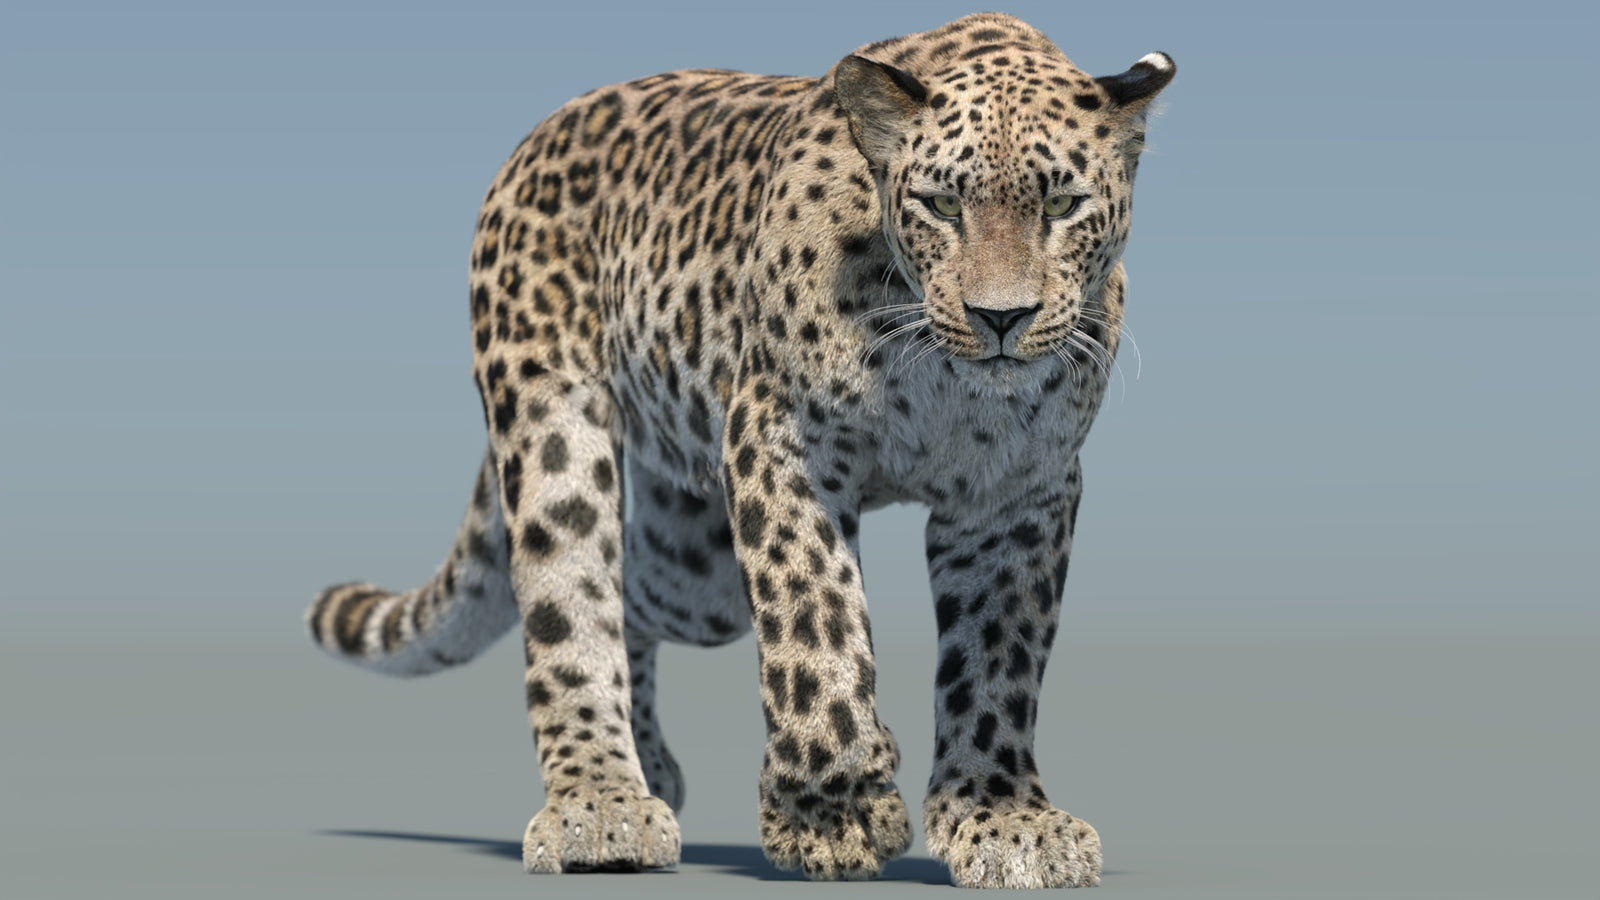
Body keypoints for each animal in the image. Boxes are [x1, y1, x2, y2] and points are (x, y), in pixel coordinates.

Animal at [305, 12, 1173, 888]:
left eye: (1062, 204)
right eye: (940, 205)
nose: (1001, 318)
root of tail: (538, 136)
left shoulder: (1015, 492)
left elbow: (998, 661)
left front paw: (1001, 818)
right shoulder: (781, 435)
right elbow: (814, 620)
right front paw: (834, 815)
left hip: (694, 563)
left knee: (632, 597)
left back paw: (651, 766)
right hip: (555, 425)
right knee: (570, 601)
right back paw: (601, 802)